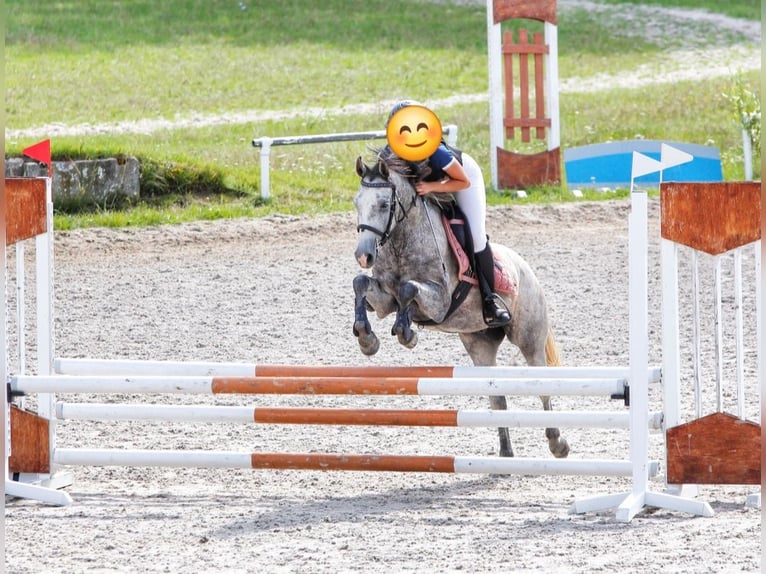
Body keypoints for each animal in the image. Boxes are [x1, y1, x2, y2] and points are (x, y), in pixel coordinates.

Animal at [354, 152, 568, 460]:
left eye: (384, 204)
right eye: (356, 202)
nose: (363, 255)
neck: (401, 243)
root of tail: (524, 267)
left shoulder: (440, 302)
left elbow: (409, 289)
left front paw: (407, 334)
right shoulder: (385, 300)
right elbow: (361, 283)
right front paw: (367, 339)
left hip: (529, 338)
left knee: (541, 385)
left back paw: (557, 443)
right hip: (479, 343)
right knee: (497, 398)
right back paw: (505, 454)